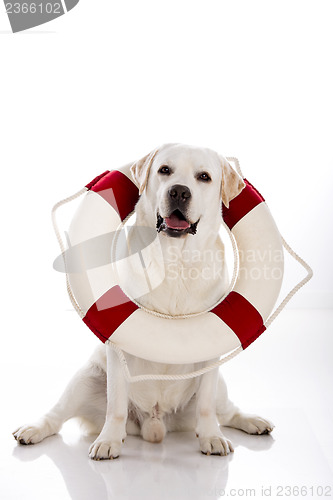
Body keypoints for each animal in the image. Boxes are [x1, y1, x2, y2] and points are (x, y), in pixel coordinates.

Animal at [13, 144, 272, 458]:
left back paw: (253, 421)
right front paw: (109, 441)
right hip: (86, 379)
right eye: (164, 170)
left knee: (225, 411)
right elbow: (115, 406)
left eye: (204, 177)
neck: (175, 259)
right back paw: (33, 429)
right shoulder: (116, 347)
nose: (179, 192)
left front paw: (211, 437)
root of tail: (155, 422)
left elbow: (207, 407)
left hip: (216, 385)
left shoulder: (212, 354)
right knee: (57, 415)